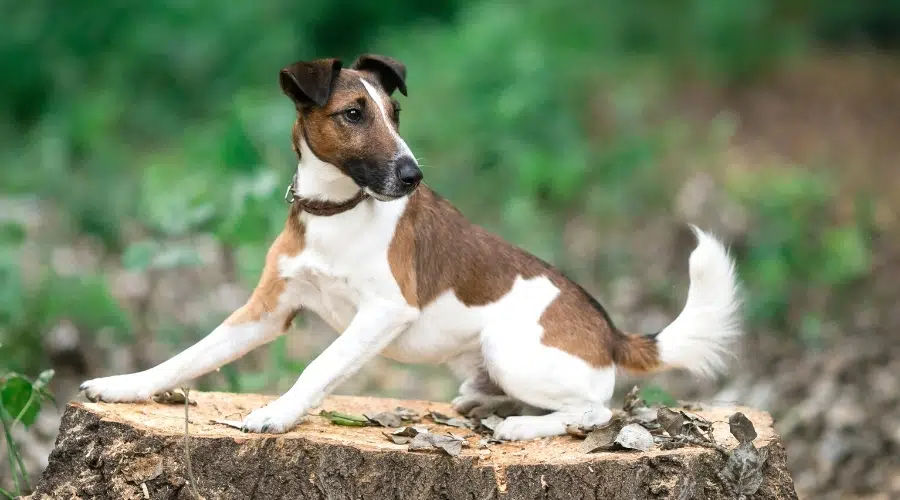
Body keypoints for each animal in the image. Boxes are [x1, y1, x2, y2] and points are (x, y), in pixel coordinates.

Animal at [81, 52, 740, 440]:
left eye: (394, 113)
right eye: (353, 113)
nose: (412, 174)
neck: (338, 211)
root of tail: (610, 333)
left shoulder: (383, 311)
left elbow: (318, 367)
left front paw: (276, 413)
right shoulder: (267, 310)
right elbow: (189, 356)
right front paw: (124, 387)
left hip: (511, 349)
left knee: (597, 410)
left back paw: (522, 428)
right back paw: (488, 407)